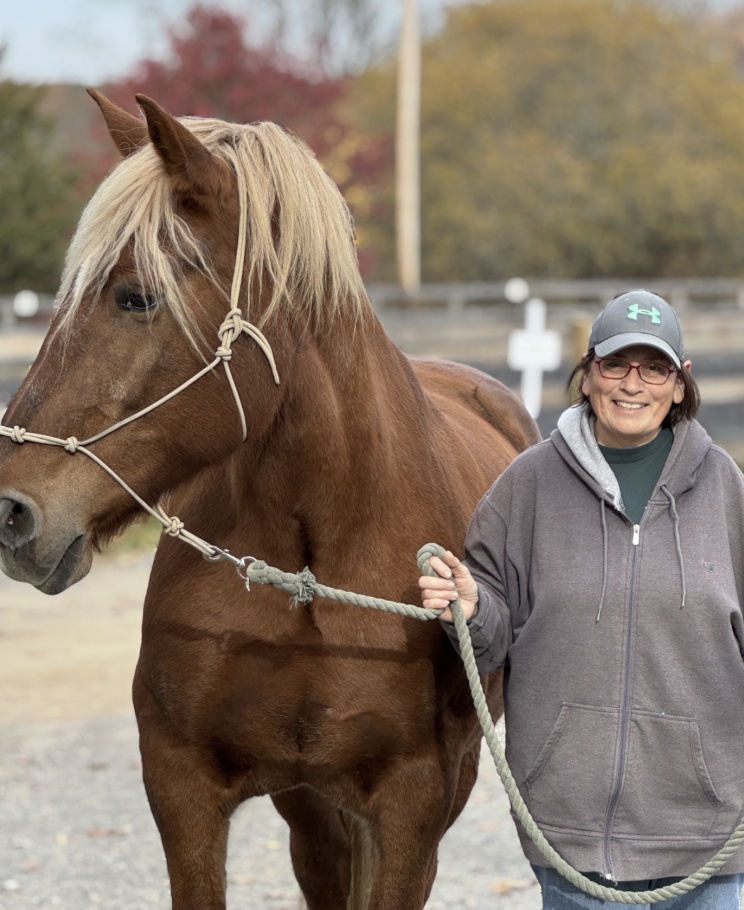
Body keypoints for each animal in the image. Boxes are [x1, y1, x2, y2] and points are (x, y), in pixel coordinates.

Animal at [0, 90, 539, 909]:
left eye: (136, 297)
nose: (11, 510)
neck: (313, 563)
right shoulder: (184, 790)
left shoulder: (412, 811)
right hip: (309, 807)